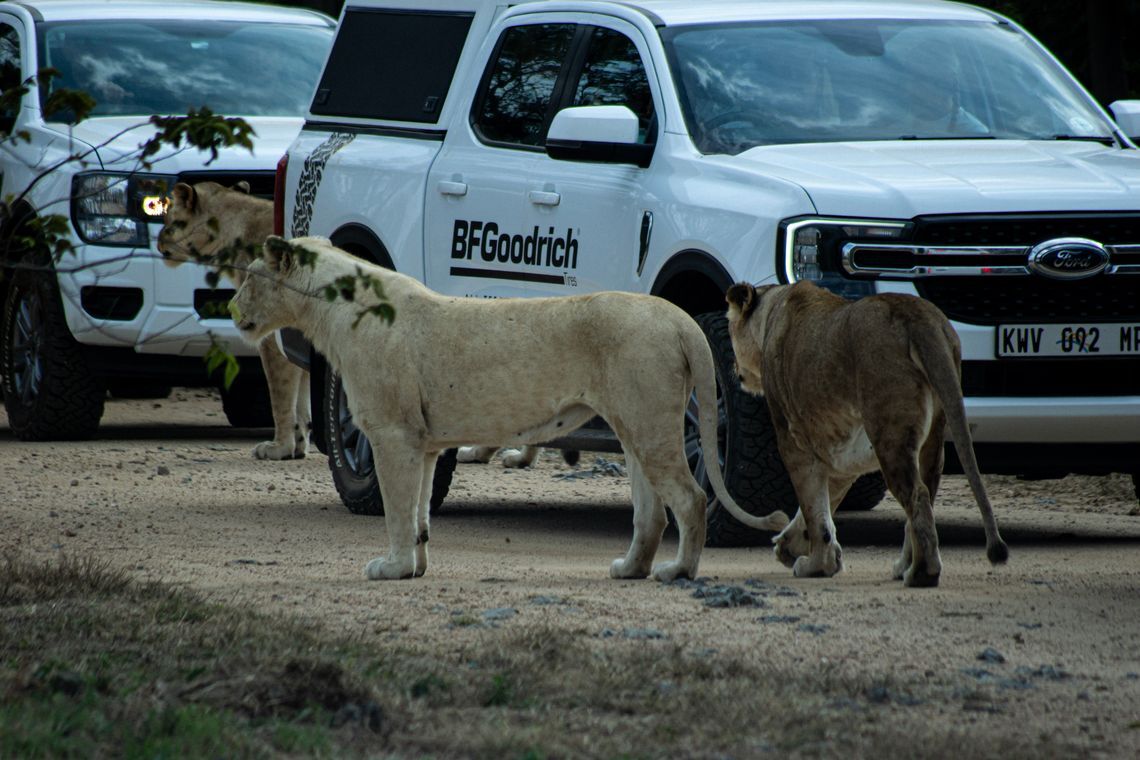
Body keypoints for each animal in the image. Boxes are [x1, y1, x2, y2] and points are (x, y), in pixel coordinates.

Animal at [156, 181, 310, 460]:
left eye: (168, 219)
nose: (158, 240)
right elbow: (302, 401)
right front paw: (298, 446)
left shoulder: (273, 337)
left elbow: (281, 398)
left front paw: (280, 448)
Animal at [231, 235, 789, 581]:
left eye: (251, 277)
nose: (232, 308)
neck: (329, 309)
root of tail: (680, 319)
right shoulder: (423, 444)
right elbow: (418, 513)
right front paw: (414, 566)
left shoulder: (392, 434)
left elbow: (395, 510)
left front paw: (390, 568)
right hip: (635, 427)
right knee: (650, 513)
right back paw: (630, 570)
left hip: (651, 426)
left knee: (692, 499)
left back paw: (678, 572)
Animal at [725, 281, 1008, 587]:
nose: (732, 367)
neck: (771, 308)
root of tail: (918, 316)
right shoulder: (838, 455)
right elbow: (821, 506)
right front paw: (792, 547)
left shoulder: (793, 442)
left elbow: (814, 510)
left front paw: (817, 565)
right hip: (933, 436)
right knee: (926, 495)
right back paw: (903, 566)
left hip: (889, 432)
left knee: (917, 496)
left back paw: (922, 573)